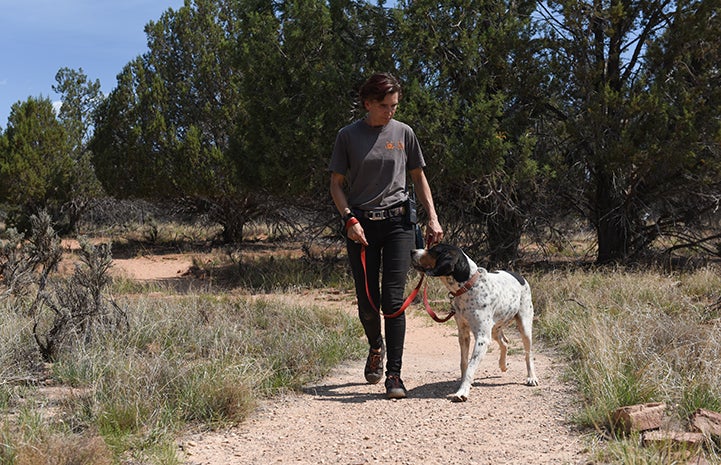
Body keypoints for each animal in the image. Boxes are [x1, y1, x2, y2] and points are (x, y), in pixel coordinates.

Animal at [410, 245, 536, 400]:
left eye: (433, 250)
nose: (412, 251)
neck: (468, 286)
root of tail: (520, 277)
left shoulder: (482, 338)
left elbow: (471, 366)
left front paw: (462, 391)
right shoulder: (463, 334)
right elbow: (464, 363)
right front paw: (465, 384)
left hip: (524, 327)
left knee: (528, 354)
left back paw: (531, 377)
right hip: (494, 330)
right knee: (505, 342)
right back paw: (503, 365)